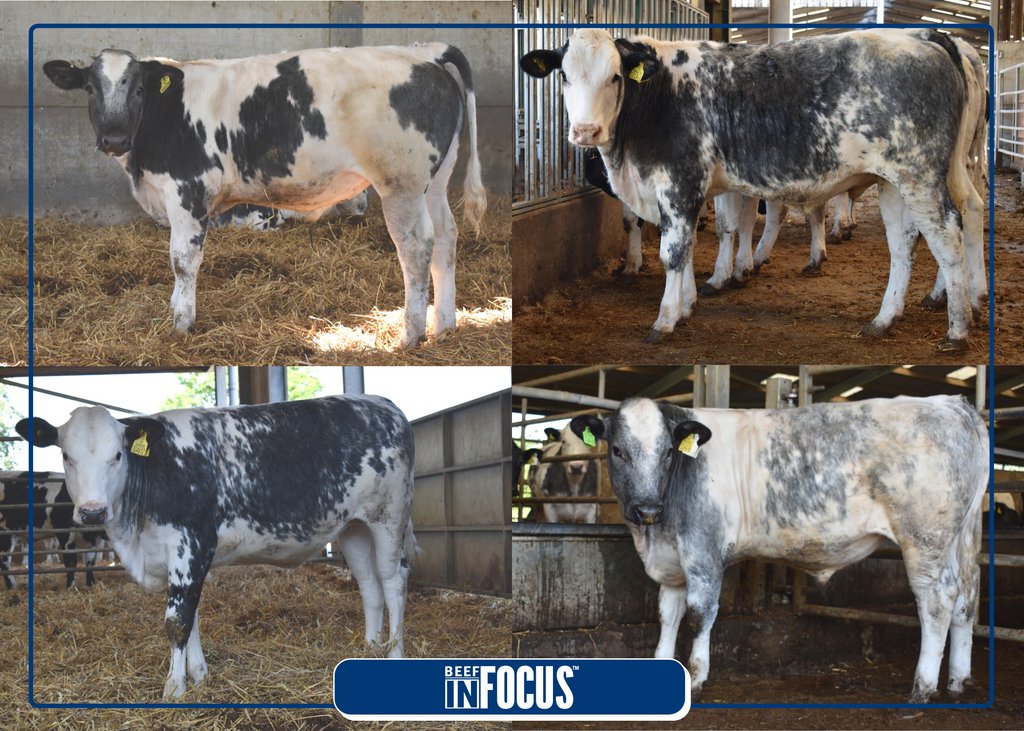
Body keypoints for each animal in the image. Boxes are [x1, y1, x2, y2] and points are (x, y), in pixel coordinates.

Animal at [16, 394, 416, 699]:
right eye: (66, 456)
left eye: (117, 456)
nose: (93, 511)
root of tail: (384, 405)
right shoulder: (181, 560)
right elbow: (190, 617)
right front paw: (199, 676)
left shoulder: (190, 545)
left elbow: (177, 620)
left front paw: (174, 687)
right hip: (353, 528)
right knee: (369, 587)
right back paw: (368, 649)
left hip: (389, 517)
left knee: (392, 582)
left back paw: (394, 654)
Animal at [43, 44, 486, 349]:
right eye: (89, 88)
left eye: (137, 89)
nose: (114, 138)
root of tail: (424, 52)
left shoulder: (188, 192)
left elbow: (183, 261)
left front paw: (181, 324)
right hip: (435, 180)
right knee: (446, 238)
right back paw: (444, 327)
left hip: (401, 184)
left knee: (416, 246)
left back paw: (410, 336)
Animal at [521, 28, 985, 352]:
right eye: (564, 76)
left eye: (616, 76)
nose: (586, 131)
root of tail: (924, 38)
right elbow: (697, 244)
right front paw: (689, 304)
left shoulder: (679, 183)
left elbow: (675, 253)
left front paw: (666, 320)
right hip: (896, 182)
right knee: (907, 242)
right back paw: (888, 318)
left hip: (920, 177)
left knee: (947, 235)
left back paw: (958, 328)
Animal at [569, 395, 987, 703]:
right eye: (617, 450)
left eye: (668, 452)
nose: (647, 509)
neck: (656, 535)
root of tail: (951, 403)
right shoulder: (671, 565)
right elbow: (667, 616)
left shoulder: (703, 553)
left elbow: (699, 615)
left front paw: (696, 680)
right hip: (962, 539)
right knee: (966, 598)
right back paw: (957, 682)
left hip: (925, 540)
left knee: (937, 601)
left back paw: (922, 689)